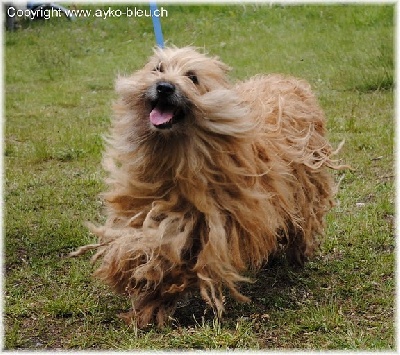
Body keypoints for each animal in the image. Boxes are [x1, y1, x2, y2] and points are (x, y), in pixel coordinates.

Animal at [72, 46, 346, 328]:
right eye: (158, 68)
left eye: (192, 77)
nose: (164, 87)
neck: (177, 154)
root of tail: (289, 81)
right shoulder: (147, 201)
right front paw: (134, 274)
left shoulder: (210, 221)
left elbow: (174, 256)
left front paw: (153, 291)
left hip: (304, 189)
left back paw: (297, 256)